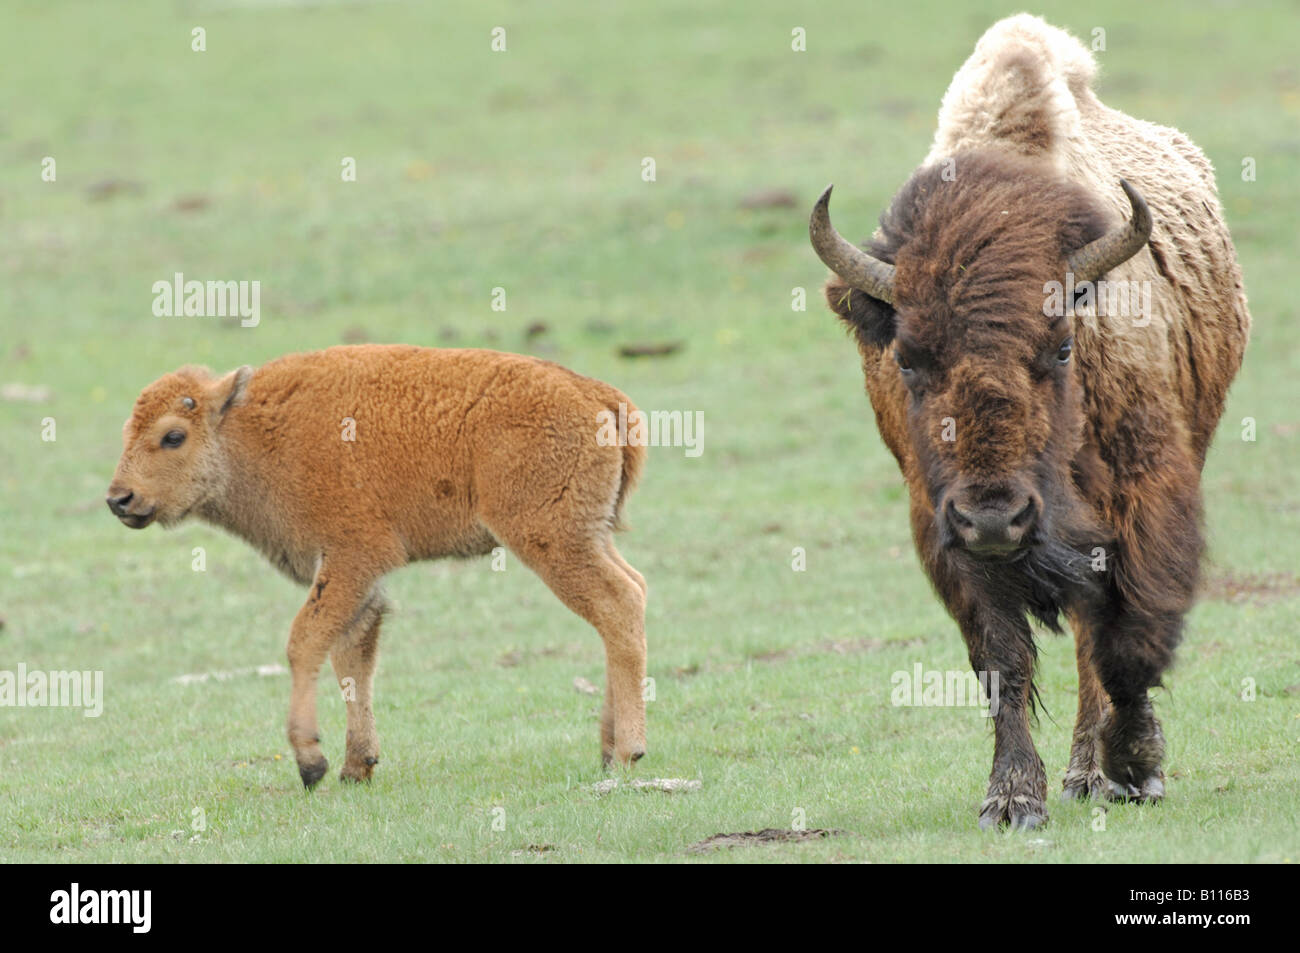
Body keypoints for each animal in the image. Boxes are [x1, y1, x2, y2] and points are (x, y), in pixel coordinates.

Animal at [810, 14, 1250, 829]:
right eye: (908, 358)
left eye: (1063, 345)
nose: (994, 516)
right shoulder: (946, 532)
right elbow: (1002, 660)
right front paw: (1011, 798)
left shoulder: (1144, 499)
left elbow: (1127, 642)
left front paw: (1135, 766)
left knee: (1093, 643)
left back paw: (1092, 772)